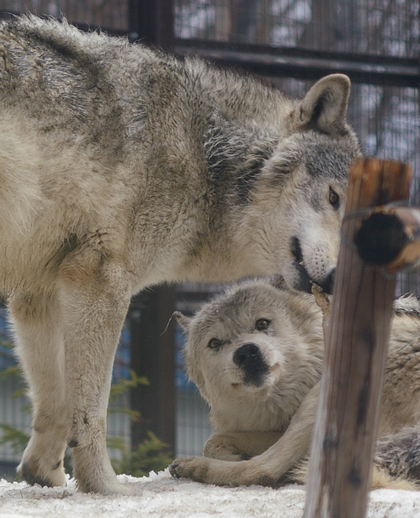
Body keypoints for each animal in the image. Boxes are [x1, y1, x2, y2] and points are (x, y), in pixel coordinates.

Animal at [0, 15, 360, 496]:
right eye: (334, 198)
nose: (339, 280)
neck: (202, 155)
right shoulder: (101, 283)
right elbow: (93, 409)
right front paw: (106, 489)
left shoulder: (37, 295)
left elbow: (56, 406)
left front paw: (45, 476)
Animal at [171, 278, 420, 490]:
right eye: (215, 343)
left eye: (262, 323)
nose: (247, 353)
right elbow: (213, 440)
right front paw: (232, 453)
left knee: (264, 469)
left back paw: (192, 466)